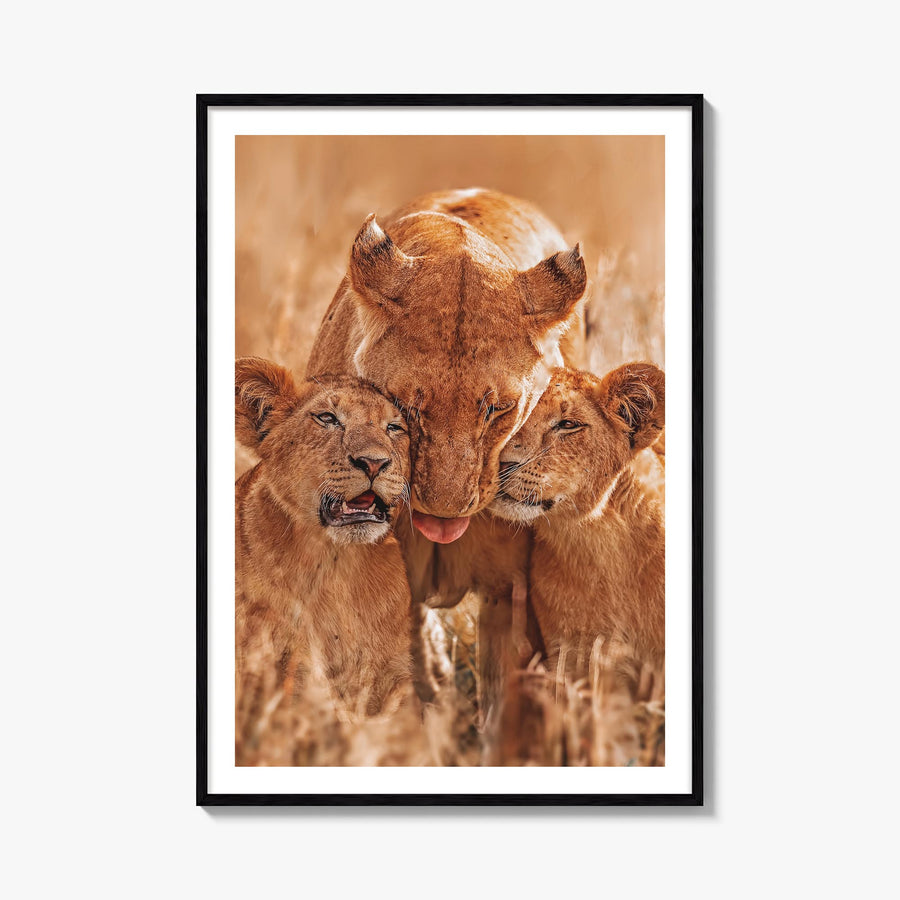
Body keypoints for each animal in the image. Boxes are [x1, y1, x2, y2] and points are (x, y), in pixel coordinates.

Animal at [234, 358, 415, 724]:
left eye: (394, 427)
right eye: (328, 418)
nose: (374, 462)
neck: (338, 565)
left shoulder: (396, 672)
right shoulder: (283, 660)